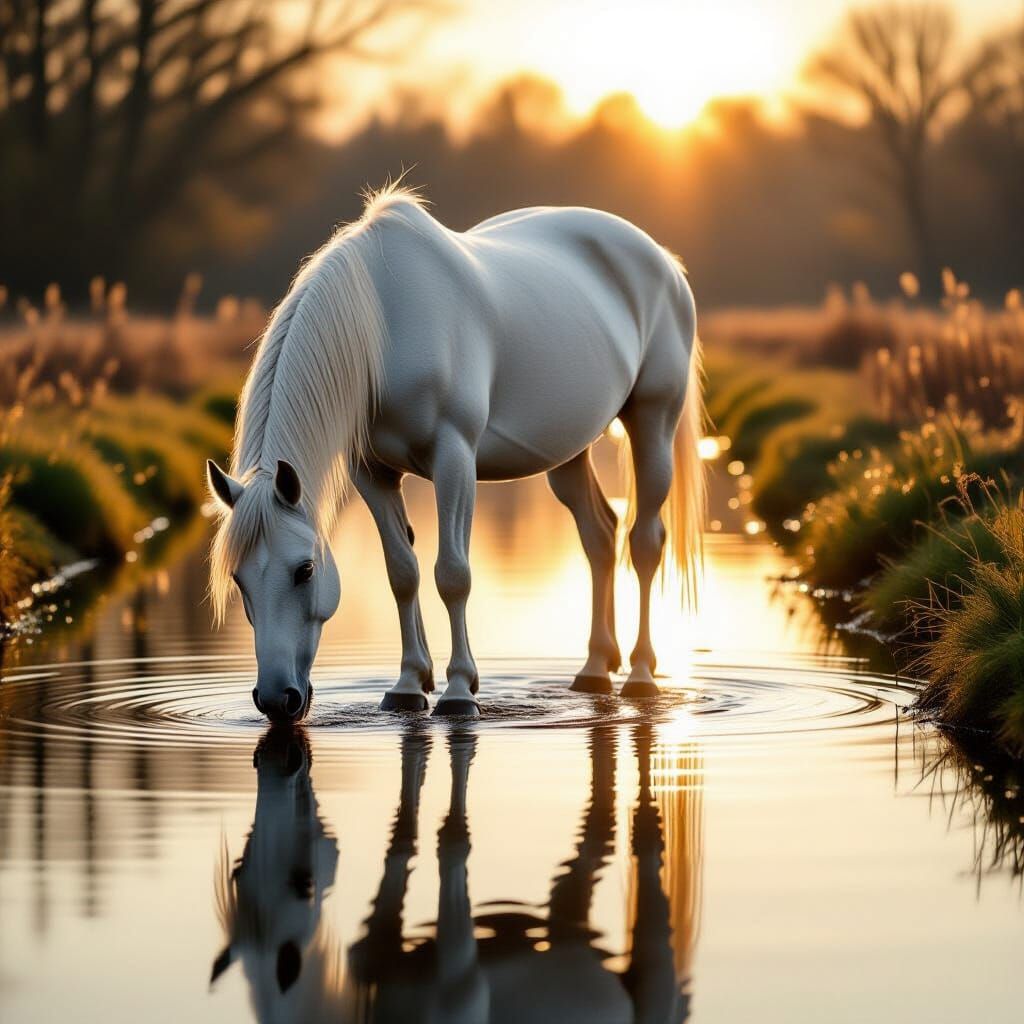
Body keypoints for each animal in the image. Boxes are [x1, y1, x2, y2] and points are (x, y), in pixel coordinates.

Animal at [206, 185, 704, 721]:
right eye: (238, 578)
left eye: (305, 570)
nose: (277, 699)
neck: (385, 324)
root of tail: (664, 261)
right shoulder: (372, 473)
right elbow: (402, 572)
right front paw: (408, 684)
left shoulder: (454, 459)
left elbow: (453, 574)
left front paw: (460, 690)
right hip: (570, 452)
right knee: (600, 537)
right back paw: (594, 669)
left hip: (654, 420)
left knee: (645, 542)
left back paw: (641, 675)